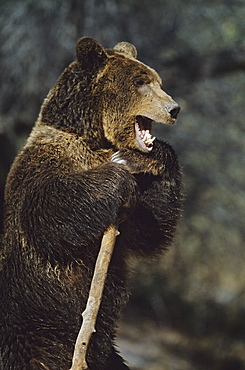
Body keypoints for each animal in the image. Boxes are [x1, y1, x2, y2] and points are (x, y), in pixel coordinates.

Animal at [0, 36, 182, 368]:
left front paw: (149, 157)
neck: (95, 139)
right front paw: (119, 174)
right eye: (140, 82)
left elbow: (149, 230)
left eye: (158, 81)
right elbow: (51, 211)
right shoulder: (43, 165)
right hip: (34, 328)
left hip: (105, 351)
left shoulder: (132, 216)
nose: (173, 109)